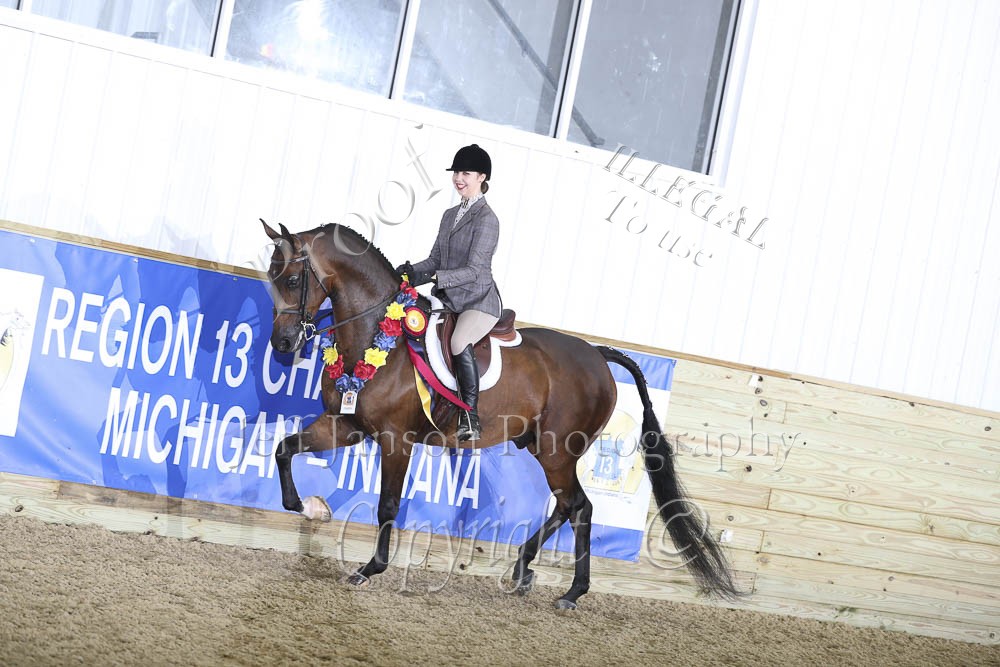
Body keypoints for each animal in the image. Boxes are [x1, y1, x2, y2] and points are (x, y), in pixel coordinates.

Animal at [262, 220, 740, 609]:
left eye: (292, 279)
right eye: (270, 277)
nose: (282, 344)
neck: (380, 334)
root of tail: (597, 355)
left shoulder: (396, 441)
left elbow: (387, 505)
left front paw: (369, 569)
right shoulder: (345, 425)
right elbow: (284, 450)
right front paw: (311, 508)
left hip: (557, 450)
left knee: (580, 507)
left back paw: (571, 592)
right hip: (541, 447)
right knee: (567, 506)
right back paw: (525, 570)